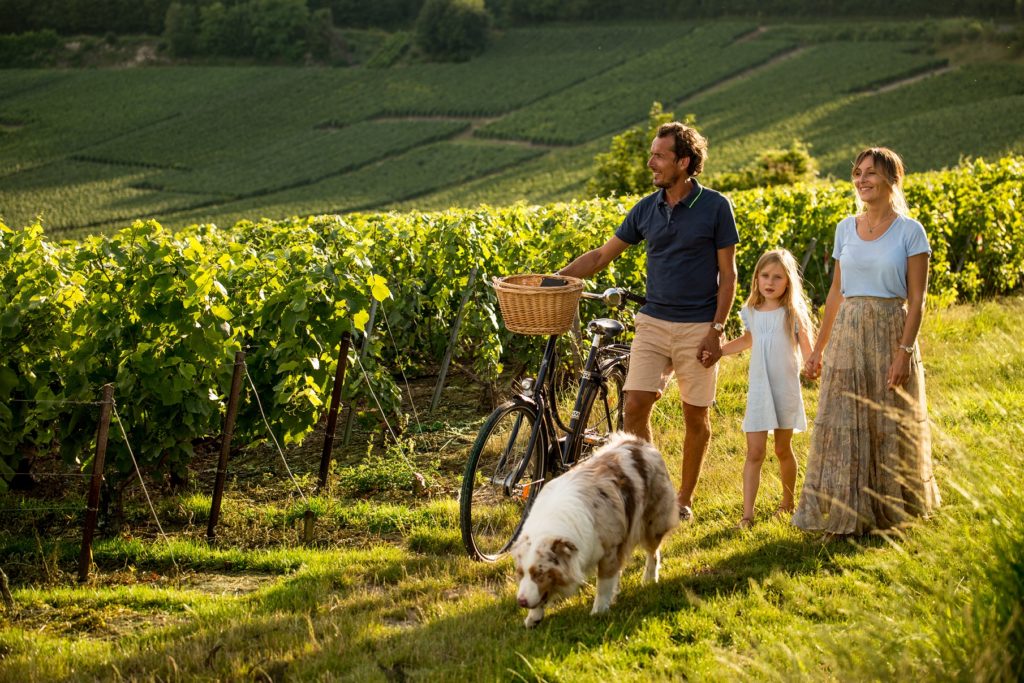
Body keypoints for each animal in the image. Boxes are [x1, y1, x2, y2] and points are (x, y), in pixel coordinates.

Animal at [512, 436, 679, 626]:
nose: (521, 601)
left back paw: (649, 579)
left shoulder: (610, 549)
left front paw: (599, 611)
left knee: (653, 552)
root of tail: (637, 442)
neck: (550, 524)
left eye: (539, 574)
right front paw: (533, 617)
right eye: (520, 573)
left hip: (652, 521)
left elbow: (603, 583)